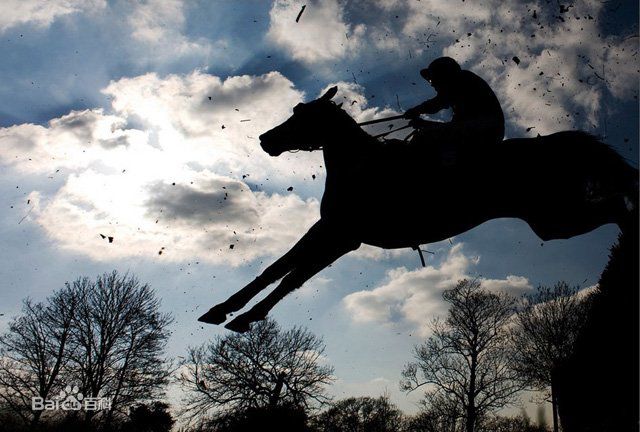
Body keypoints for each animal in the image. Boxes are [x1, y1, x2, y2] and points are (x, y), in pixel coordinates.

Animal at [198, 86, 636, 332]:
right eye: (294, 111)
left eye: (304, 116)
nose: (265, 139)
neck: (360, 167)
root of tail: (556, 145)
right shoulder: (328, 228)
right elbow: (277, 267)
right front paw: (220, 310)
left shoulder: (344, 237)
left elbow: (294, 277)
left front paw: (246, 318)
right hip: (552, 218)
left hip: (555, 218)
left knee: (618, 207)